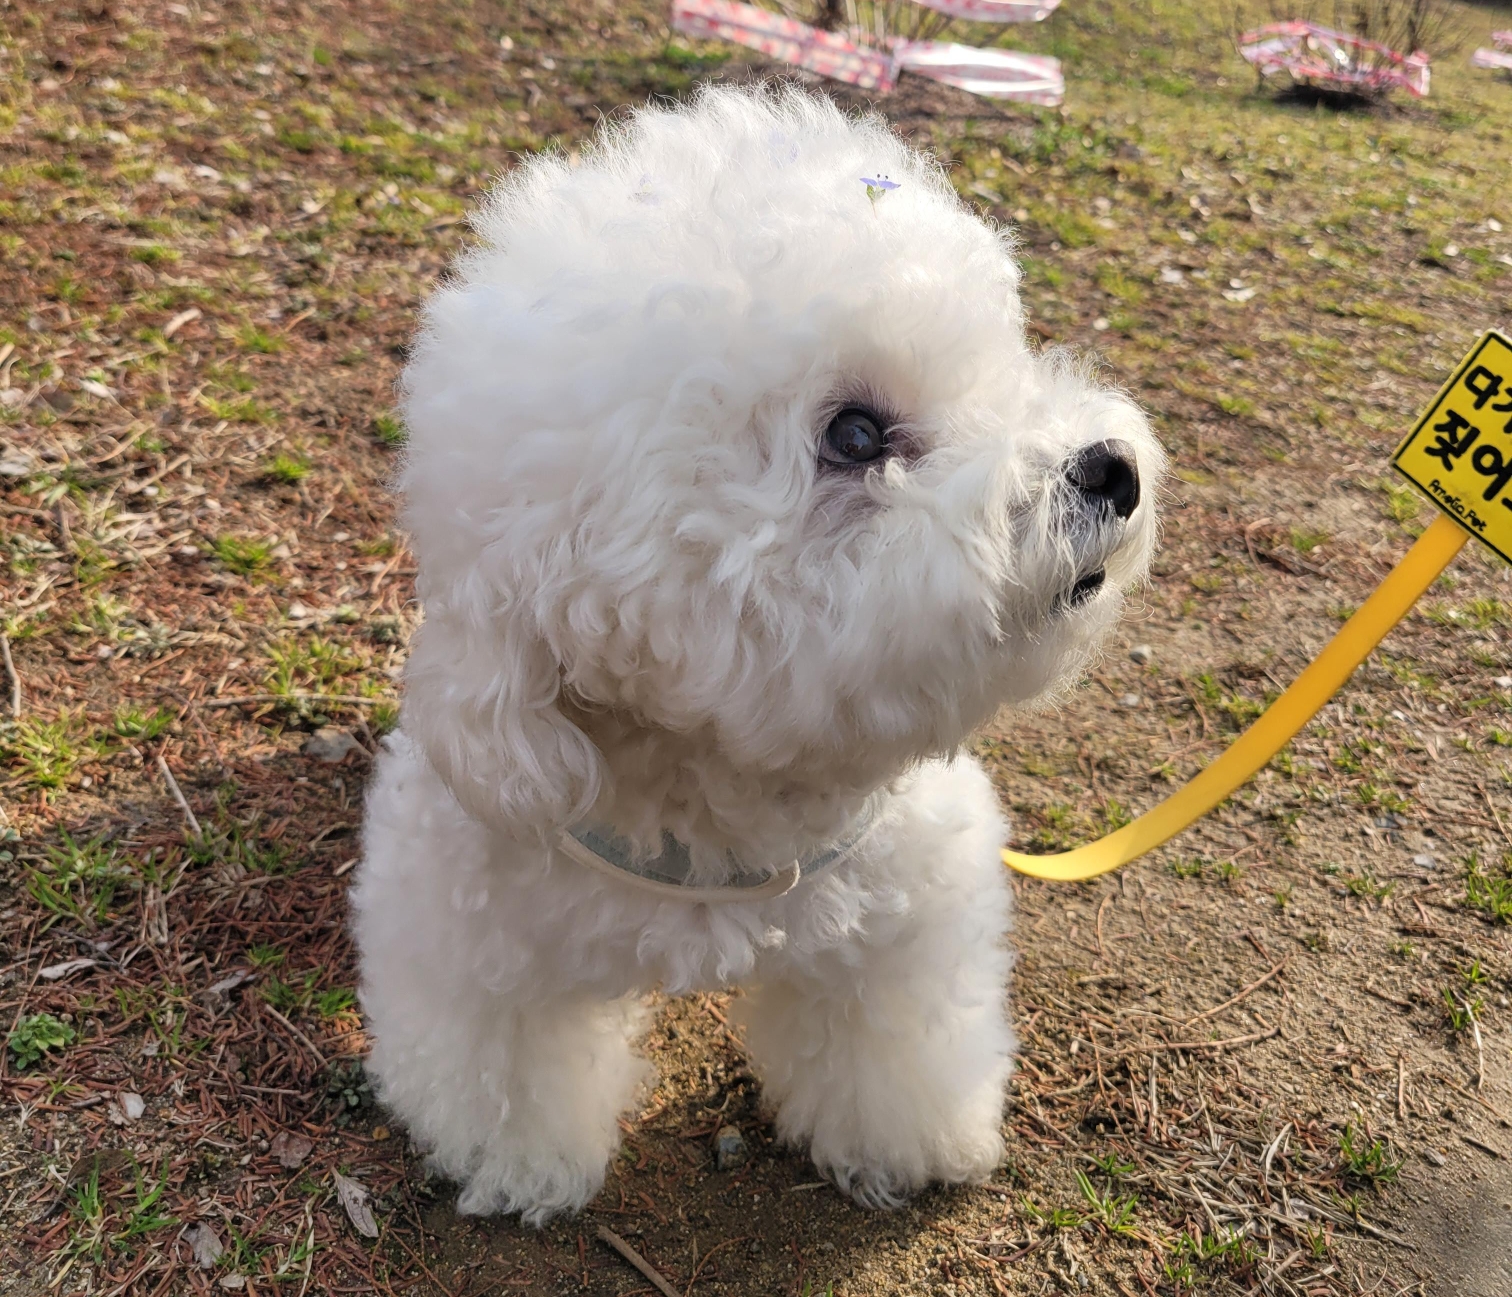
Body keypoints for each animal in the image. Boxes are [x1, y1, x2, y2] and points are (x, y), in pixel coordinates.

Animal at [352, 84, 1163, 1223]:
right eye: (856, 435)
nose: (1113, 468)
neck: (719, 782)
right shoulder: (473, 933)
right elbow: (499, 1066)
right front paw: (518, 1167)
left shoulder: (907, 919)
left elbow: (891, 1046)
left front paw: (909, 1145)